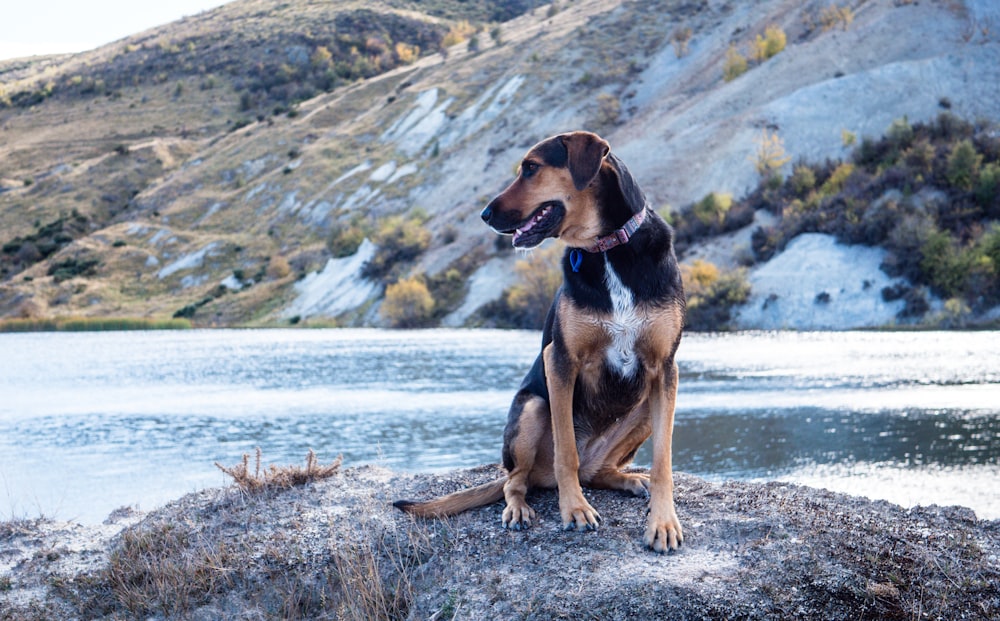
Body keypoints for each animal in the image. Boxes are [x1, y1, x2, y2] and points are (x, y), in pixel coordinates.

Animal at [394, 131, 684, 552]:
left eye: (531, 168)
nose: (484, 215)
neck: (607, 249)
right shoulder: (560, 360)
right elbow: (566, 454)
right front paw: (574, 509)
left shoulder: (664, 369)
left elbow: (663, 462)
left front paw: (662, 522)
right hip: (531, 408)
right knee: (517, 480)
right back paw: (519, 507)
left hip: (647, 404)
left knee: (596, 471)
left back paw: (627, 479)